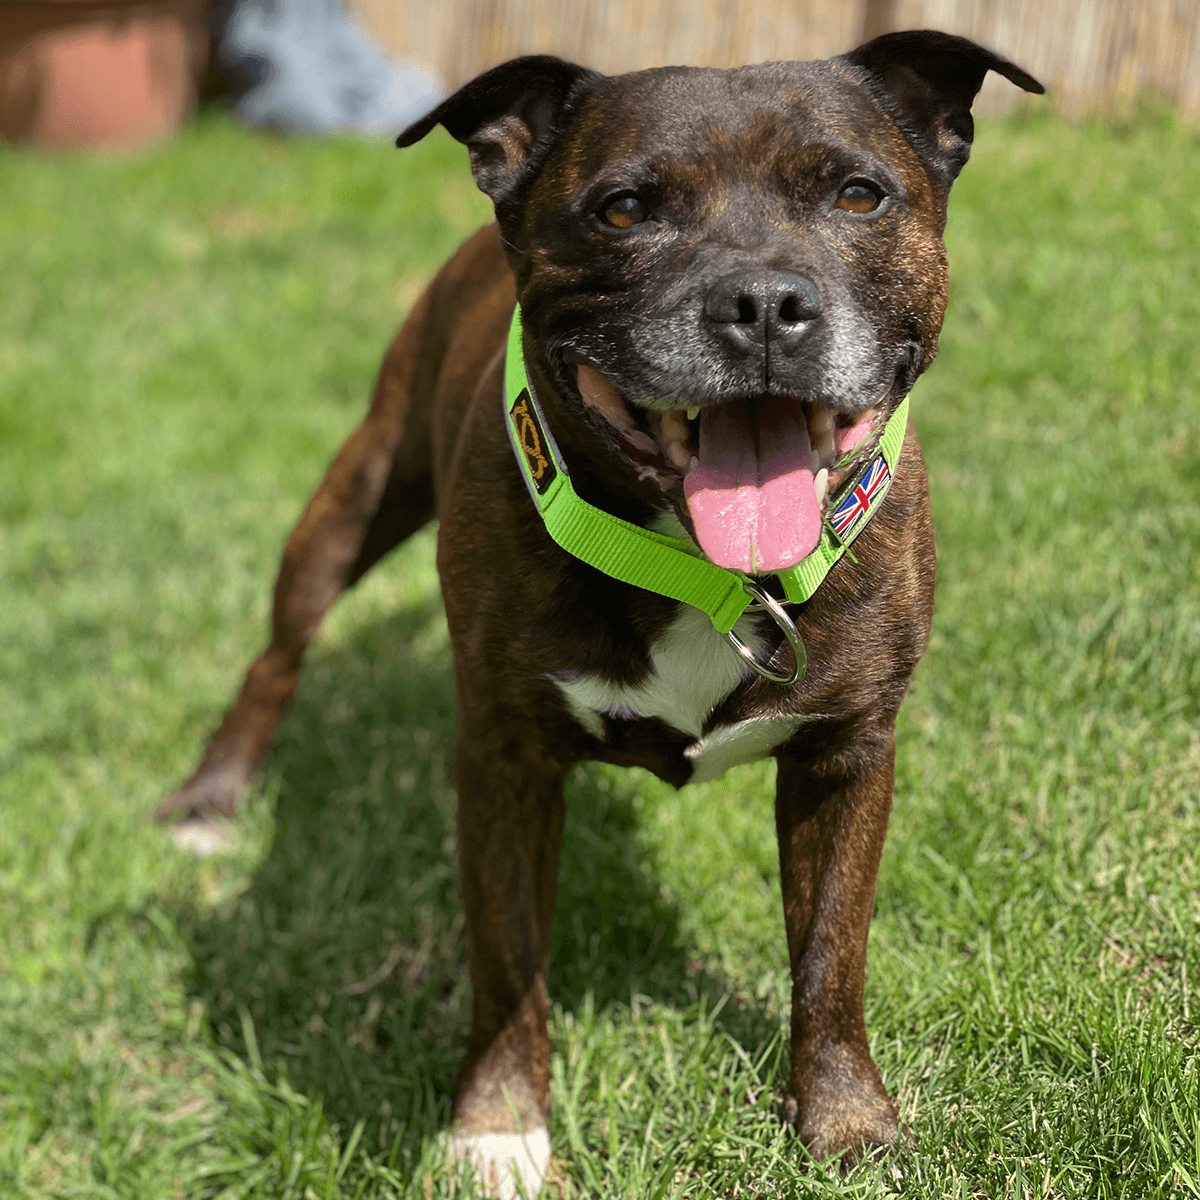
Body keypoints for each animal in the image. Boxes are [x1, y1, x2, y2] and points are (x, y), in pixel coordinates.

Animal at [159, 32, 1041, 1195]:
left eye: (859, 194)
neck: (706, 567)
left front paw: (844, 1121)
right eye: (624, 209)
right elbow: (508, 962)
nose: (764, 302)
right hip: (355, 496)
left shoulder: (848, 754)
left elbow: (831, 954)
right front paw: (496, 1128)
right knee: (279, 653)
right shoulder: (503, 759)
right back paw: (212, 798)